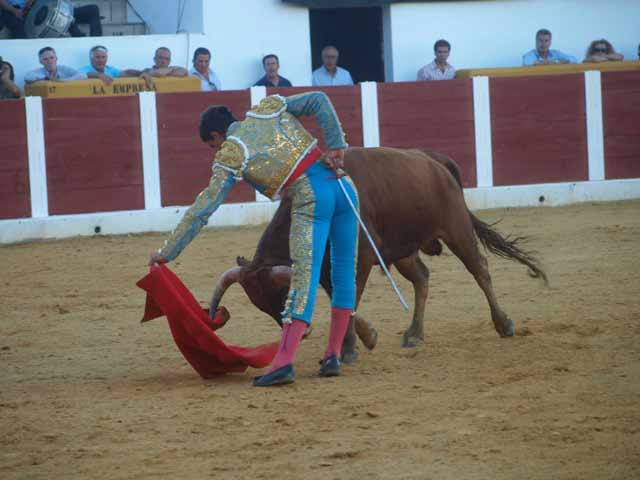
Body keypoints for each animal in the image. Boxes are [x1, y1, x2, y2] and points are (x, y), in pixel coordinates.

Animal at [209, 146, 544, 360]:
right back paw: (414, 333)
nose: (301, 334)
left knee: (480, 269)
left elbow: (350, 297)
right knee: (422, 278)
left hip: (456, 228)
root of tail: (435, 159)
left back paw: (503, 324)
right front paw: (366, 337)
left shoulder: (360, 258)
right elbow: (342, 298)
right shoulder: (329, 265)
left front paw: (346, 349)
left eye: (283, 293)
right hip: (403, 249)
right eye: (260, 305)